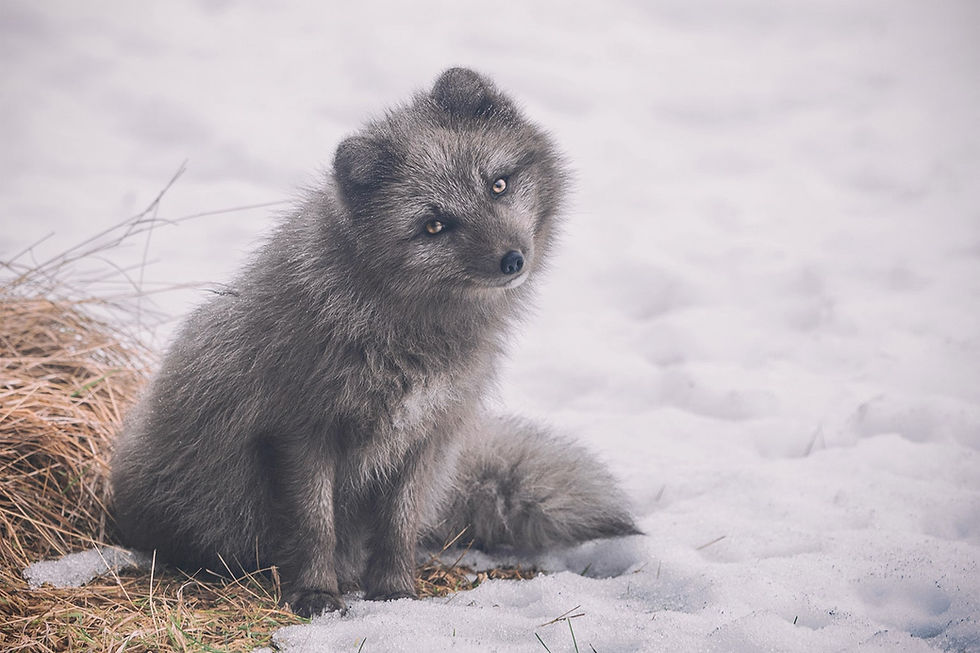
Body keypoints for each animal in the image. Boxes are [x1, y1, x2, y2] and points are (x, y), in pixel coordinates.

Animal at [110, 67, 639, 617]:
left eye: (498, 184)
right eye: (434, 225)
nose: (513, 260)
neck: (405, 335)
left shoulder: (424, 436)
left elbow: (399, 526)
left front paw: (396, 593)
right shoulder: (302, 432)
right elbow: (314, 526)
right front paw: (317, 593)